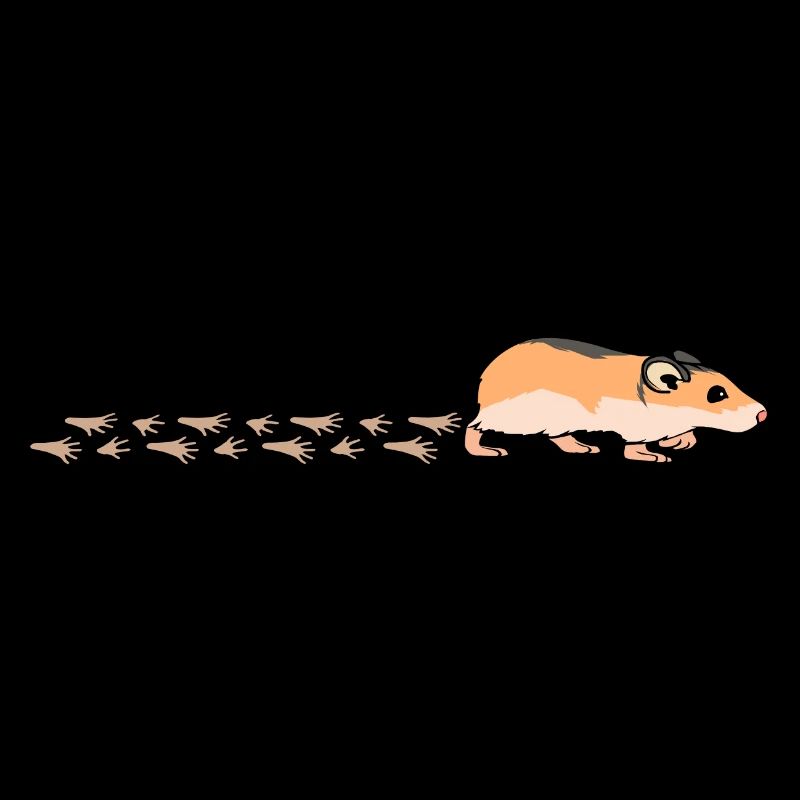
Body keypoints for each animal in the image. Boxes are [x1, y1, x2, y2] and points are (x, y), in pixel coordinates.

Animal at [466, 338, 766, 462]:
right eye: (717, 394)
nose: (763, 414)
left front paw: (681, 442)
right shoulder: (637, 430)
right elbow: (633, 450)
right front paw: (655, 456)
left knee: (559, 437)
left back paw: (583, 447)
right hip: (511, 418)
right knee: (473, 427)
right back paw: (485, 451)